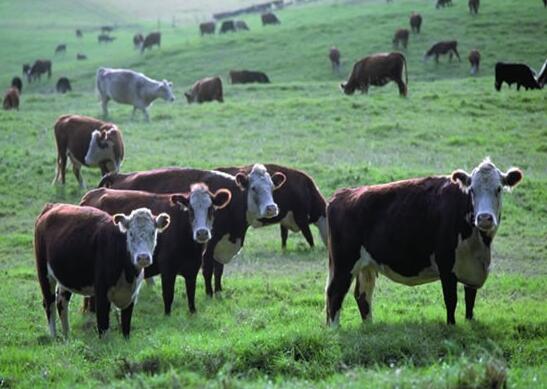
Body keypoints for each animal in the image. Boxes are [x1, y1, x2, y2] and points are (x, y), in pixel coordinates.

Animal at [35, 203, 170, 336]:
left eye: (153, 232)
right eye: (131, 233)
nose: (143, 257)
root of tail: (52, 206)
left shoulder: (131, 297)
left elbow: (126, 329)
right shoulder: (101, 293)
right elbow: (103, 327)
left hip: (66, 277)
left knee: (61, 302)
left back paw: (67, 337)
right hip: (44, 273)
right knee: (49, 303)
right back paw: (54, 337)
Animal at [79, 183, 231, 314]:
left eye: (211, 209)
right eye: (191, 210)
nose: (202, 233)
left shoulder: (192, 268)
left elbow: (191, 296)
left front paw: (193, 313)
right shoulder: (167, 269)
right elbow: (168, 296)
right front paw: (167, 316)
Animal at [97, 163, 286, 294]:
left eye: (272, 187)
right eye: (253, 188)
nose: (271, 208)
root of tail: (118, 175)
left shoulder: (220, 246)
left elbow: (219, 270)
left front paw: (219, 291)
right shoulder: (209, 243)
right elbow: (208, 270)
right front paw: (210, 294)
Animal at [328, 158, 524, 324]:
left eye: (498, 189)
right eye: (472, 190)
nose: (484, 218)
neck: (479, 241)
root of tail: (344, 193)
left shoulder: (473, 269)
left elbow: (470, 300)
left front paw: (469, 322)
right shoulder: (446, 266)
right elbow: (451, 300)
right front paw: (451, 326)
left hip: (366, 265)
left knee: (363, 295)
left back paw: (369, 327)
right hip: (344, 264)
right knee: (334, 293)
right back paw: (335, 329)